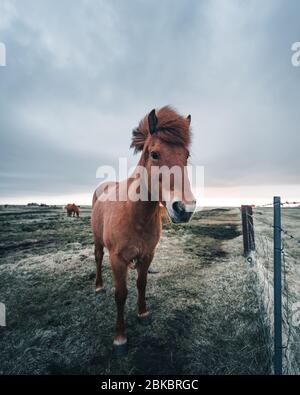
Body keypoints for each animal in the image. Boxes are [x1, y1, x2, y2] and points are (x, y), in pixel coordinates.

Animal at [91, 106, 197, 352]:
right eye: (155, 154)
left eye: (186, 156)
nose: (184, 208)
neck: (136, 215)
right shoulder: (118, 259)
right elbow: (121, 294)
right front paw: (120, 337)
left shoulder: (148, 255)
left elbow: (141, 283)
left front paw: (142, 312)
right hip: (98, 242)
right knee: (98, 258)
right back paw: (99, 286)